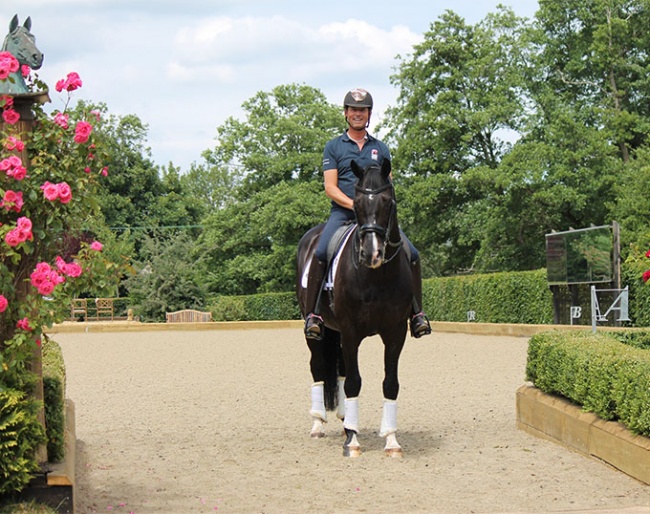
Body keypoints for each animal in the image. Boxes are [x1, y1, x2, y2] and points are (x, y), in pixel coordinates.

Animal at [294, 159, 410, 456]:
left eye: (387, 201)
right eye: (356, 203)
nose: (371, 253)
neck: (375, 277)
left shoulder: (395, 333)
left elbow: (390, 382)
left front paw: (391, 440)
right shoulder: (350, 331)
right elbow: (355, 381)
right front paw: (352, 441)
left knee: (341, 369)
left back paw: (346, 418)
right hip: (316, 329)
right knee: (317, 366)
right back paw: (318, 424)